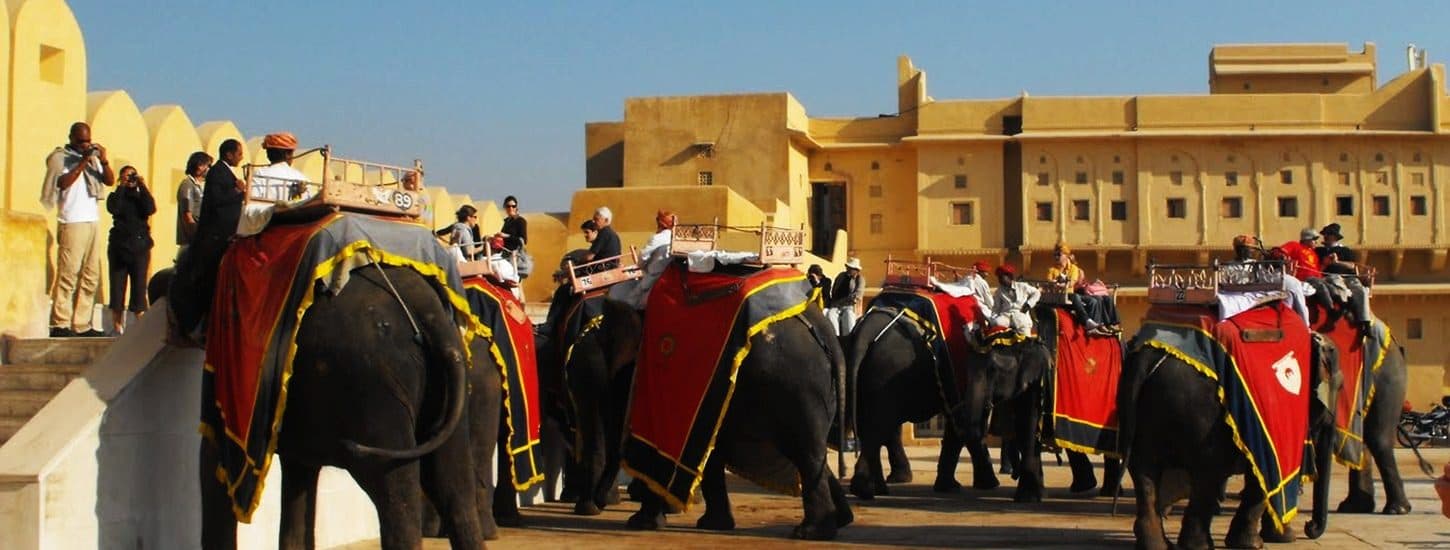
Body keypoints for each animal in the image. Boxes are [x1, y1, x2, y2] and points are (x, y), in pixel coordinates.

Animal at [171, 258, 484, 550]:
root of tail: (428, 314)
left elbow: (214, 459)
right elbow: (299, 475)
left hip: (371, 389)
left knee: (395, 493)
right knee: (455, 490)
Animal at [625, 303, 854, 540]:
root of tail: (822, 328)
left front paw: (641, 523)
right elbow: (710, 453)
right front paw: (713, 524)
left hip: (797, 388)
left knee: (804, 452)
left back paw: (810, 532)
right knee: (810, 452)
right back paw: (840, 520)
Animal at [1118, 332, 1340, 549]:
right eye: (1338, 387)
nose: (1309, 527)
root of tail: (1146, 359)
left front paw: (1277, 537)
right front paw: (1258, 543)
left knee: (1144, 471)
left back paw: (1159, 544)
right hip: (1201, 416)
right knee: (1207, 474)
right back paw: (1200, 546)